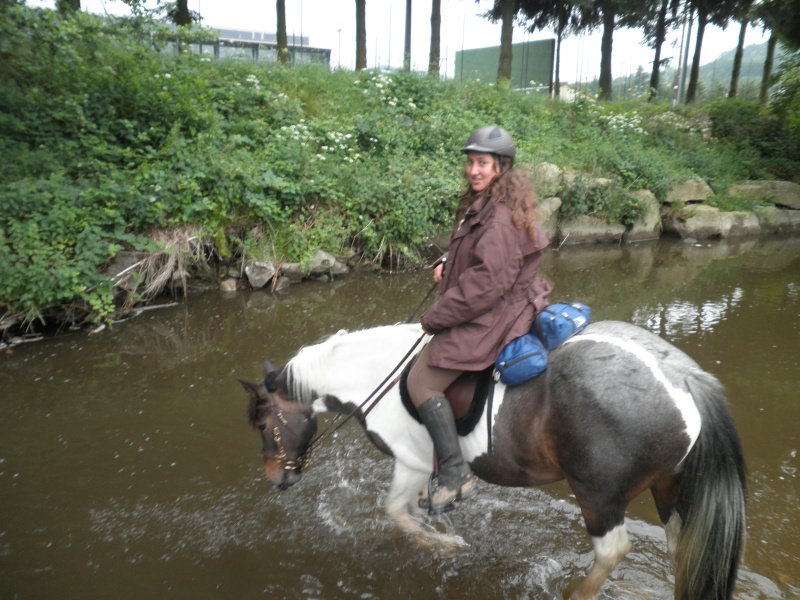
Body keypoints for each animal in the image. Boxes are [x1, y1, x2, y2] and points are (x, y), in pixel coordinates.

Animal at [238, 322, 744, 600]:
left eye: (262, 424)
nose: (276, 479)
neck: (373, 375)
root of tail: (684, 377)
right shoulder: (424, 468)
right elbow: (416, 505)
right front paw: (439, 522)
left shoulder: (410, 461)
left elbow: (395, 511)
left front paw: (444, 545)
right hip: (669, 491)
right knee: (682, 550)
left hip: (598, 495)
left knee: (613, 550)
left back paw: (571, 594)